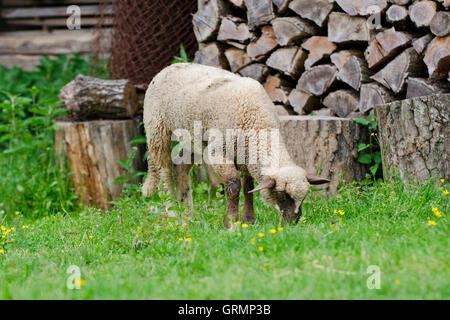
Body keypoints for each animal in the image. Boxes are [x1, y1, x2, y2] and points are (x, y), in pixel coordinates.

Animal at [142, 63, 328, 228]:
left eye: (304, 197)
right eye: (283, 196)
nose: (292, 223)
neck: (257, 122)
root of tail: (168, 68)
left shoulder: (245, 155)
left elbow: (248, 187)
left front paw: (248, 221)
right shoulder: (218, 152)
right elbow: (233, 185)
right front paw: (232, 223)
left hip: (192, 138)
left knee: (180, 168)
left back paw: (187, 218)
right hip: (157, 128)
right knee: (164, 174)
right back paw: (173, 216)